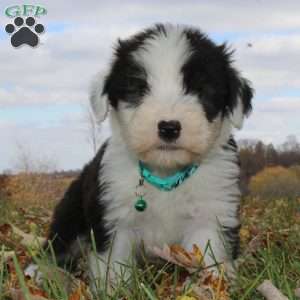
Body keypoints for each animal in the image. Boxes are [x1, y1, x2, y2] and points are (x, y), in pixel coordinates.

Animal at [25, 23, 252, 286]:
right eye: (138, 89)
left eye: (201, 91)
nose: (169, 127)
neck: (165, 174)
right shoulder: (114, 217)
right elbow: (114, 265)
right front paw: (114, 289)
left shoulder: (210, 215)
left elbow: (208, 259)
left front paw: (211, 287)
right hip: (71, 212)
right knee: (58, 245)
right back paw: (40, 271)